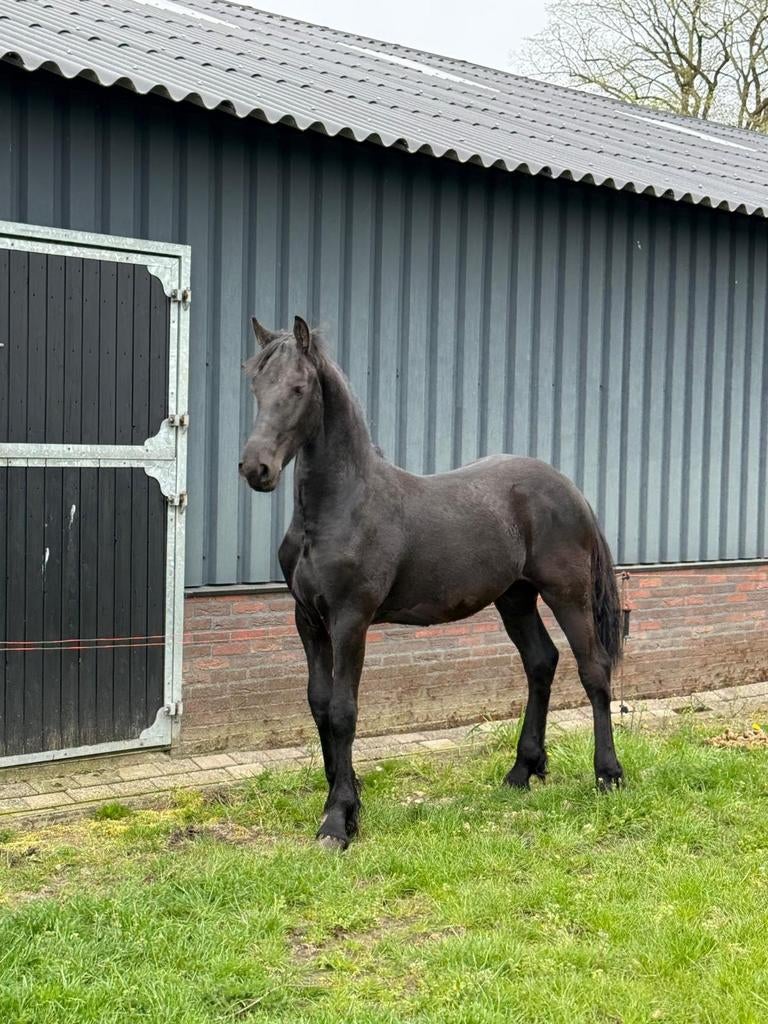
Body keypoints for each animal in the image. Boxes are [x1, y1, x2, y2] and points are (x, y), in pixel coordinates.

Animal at [240, 315, 624, 850]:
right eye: (255, 385)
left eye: (298, 388)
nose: (256, 468)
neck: (340, 508)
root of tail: (570, 489)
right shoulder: (308, 619)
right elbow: (319, 705)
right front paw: (346, 798)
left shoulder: (350, 620)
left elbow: (343, 710)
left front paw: (338, 820)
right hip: (515, 598)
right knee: (540, 662)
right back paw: (521, 772)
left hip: (567, 594)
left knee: (593, 670)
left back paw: (607, 775)